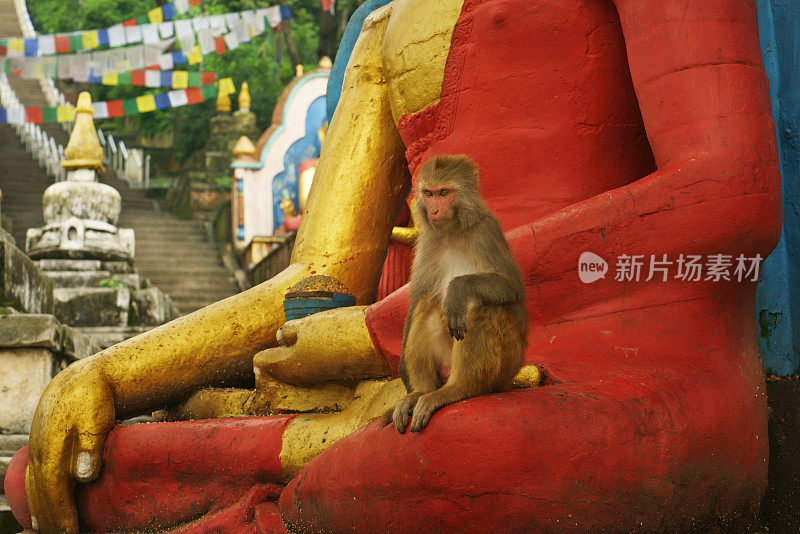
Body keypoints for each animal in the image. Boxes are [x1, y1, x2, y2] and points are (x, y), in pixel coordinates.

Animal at [390, 154, 528, 436]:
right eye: (429, 193)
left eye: (445, 193)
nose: (434, 211)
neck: (452, 231)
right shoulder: (427, 242)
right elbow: (418, 296)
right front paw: (405, 379)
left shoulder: (486, 233)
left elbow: (511, 286)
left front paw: (457, 288)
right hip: (445, 361)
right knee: (427, 304)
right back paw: (421, 392)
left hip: (504, 367)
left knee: (482, 306)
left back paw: (459, 389)